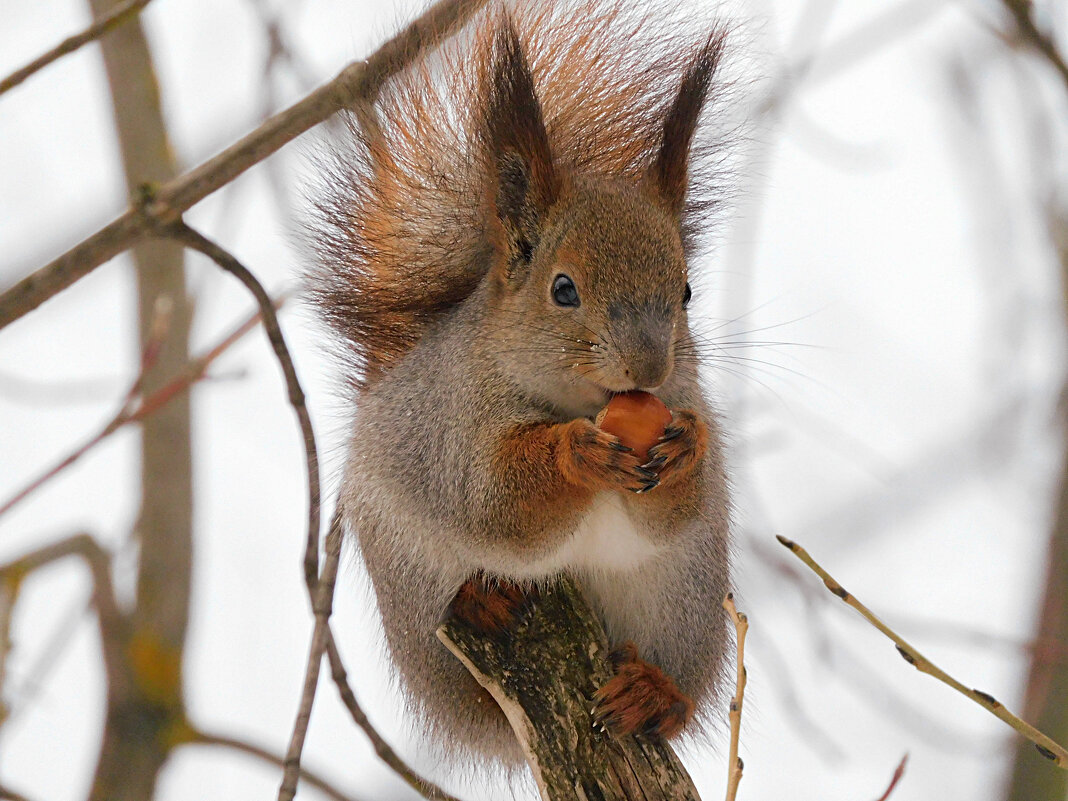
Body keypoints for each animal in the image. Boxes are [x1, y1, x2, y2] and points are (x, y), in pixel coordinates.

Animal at [305, 0, 730, 764]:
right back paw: (484, 602)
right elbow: (497, 503)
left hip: (687, 599)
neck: (580, 401)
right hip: (413, 584)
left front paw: (688, 447)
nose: (650, 368)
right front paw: (573, 453)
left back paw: (653, 692)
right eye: (563, 289)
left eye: (685, 290)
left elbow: (672, 512)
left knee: (672, 679)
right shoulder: (456, 424)